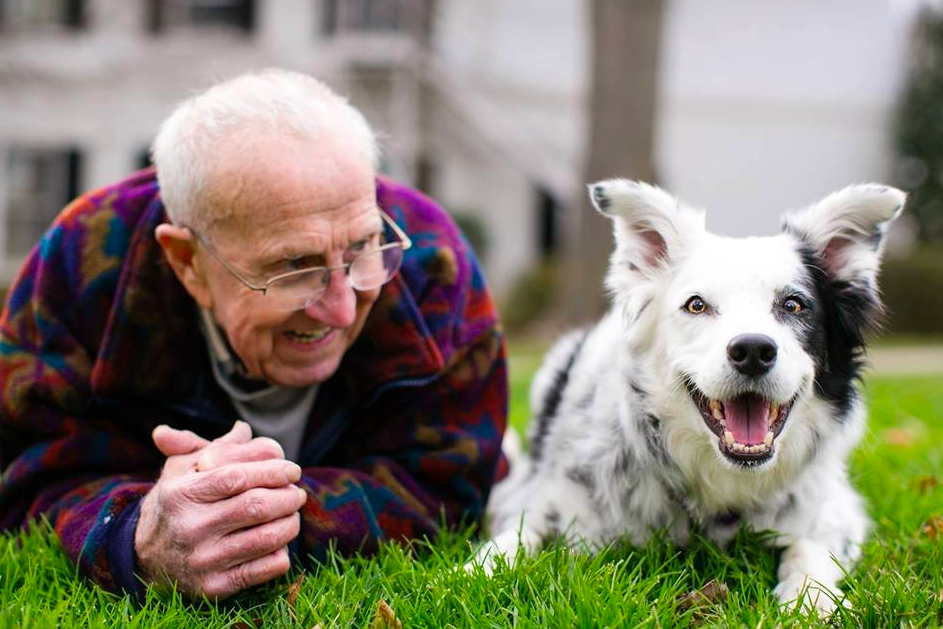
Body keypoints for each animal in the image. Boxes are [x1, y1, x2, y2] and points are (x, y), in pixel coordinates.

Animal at [476, 179, 904, 612]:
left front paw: (809, 601)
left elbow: (809, 548)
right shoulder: (541, 498)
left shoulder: (837, 509)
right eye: (696, 305)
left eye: (793, 304)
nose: (753, 350)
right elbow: (514, 539)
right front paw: (472, 571)